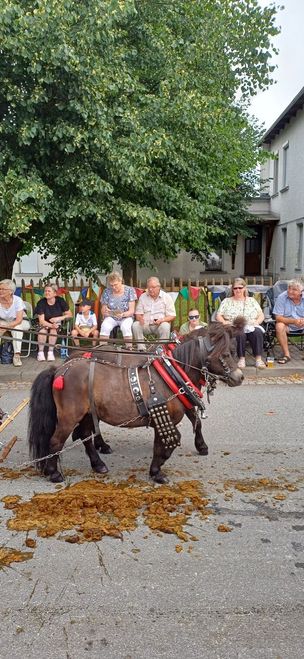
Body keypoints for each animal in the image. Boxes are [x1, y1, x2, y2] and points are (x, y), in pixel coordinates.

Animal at [27, 320, 242, 482]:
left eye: (234, 350)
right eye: (225, 354)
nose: (239, 377)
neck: (170, 374)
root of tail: (60, 370)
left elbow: (175, 435)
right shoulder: (164, 418)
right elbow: (167, 443)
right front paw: (157, 472)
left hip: (87, 413)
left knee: (86, 435)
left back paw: (98, 464)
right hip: (69, 417)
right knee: (56, 441)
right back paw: (54, 473)